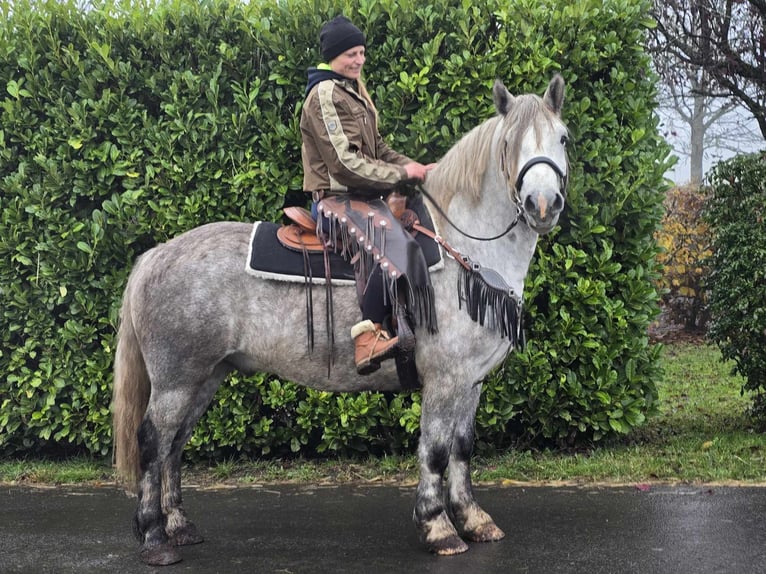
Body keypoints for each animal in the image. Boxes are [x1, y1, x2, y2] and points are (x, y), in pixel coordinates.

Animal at [114, 73, 568, 568]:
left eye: (563, 138)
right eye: (508, 143)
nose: (542, 204)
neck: (463, 247)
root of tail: (155, 255)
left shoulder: (471, 380)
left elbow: (462, 448)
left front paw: (474, 519)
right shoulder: (445, 378)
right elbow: (434, 450)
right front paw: (438, 527)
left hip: (205, 377)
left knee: (175, 444)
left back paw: (179, 527)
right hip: (176, 380)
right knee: (152, 442)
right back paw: (154, 537)